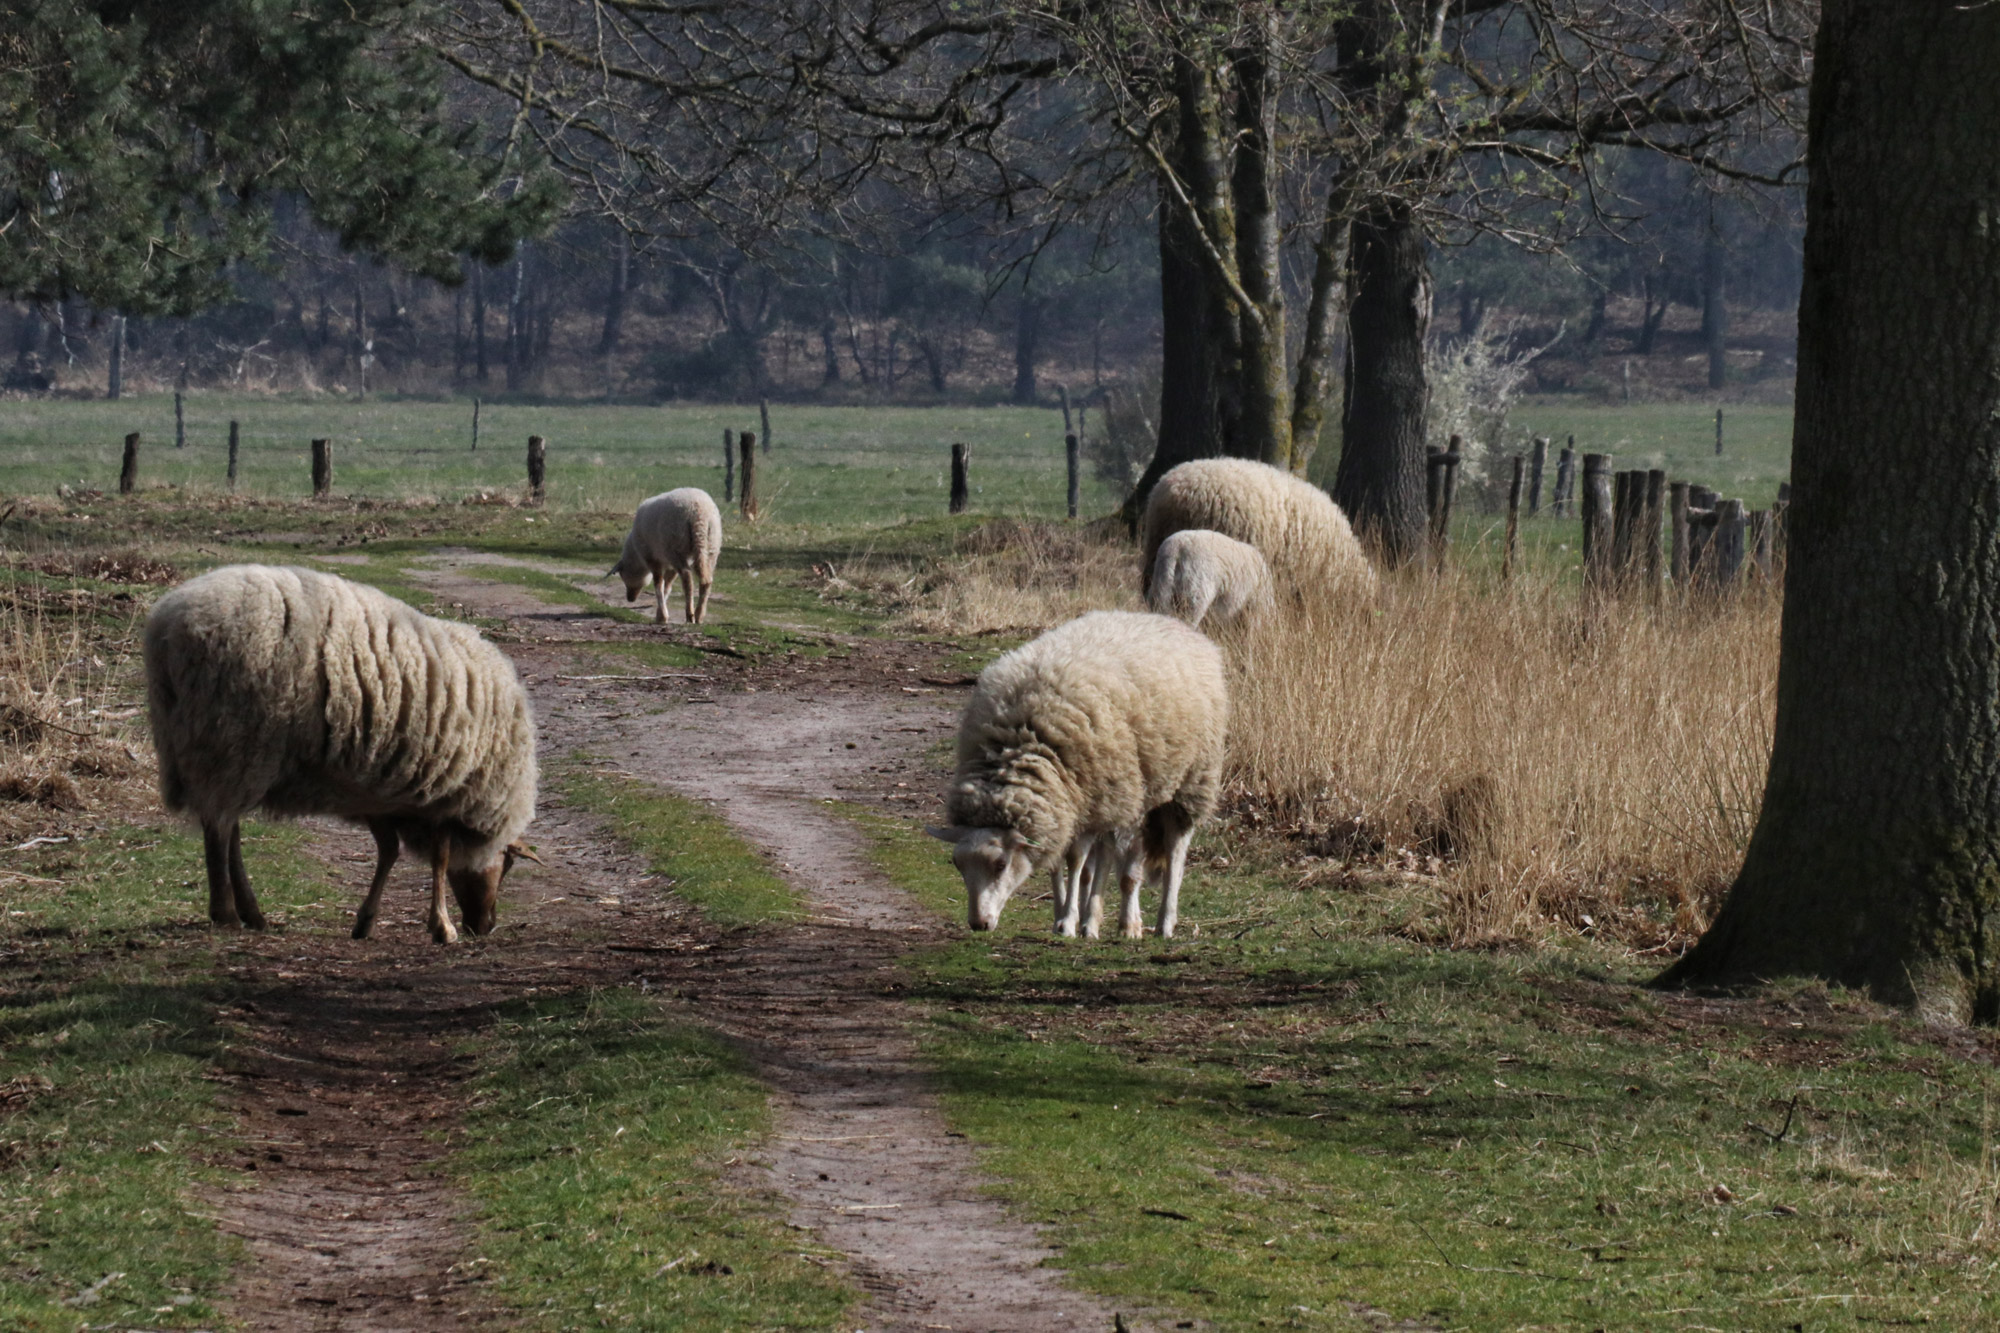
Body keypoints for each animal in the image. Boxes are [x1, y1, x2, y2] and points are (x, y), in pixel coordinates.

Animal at [143, 564, 540, 940]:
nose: (485, 926)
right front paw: (442, 926)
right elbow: (439, 859)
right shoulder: (445, 791)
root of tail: (166, 626)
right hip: (230, 739)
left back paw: (252, 913)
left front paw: (367, 921)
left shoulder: (381, 789)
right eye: (507, 864)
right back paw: (226, 913)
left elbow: (389, 850)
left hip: (205, 743)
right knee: (220, 828)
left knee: (227, 824)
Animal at [612, 488, 732, 624]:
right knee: (706, 580)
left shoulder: (652, 559)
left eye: (623, 576)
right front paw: (660, 614)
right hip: (711, 545)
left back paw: (690, 615)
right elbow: (667, 586)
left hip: (676, 547)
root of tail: (699, 514)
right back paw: (699, 615)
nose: (630, 599)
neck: (637, 557)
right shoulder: (670, 565)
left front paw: (662, 616)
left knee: (687, 579)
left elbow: (659, 585)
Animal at [928, 608, 1224, 932]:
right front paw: (1064, 916)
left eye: (1001, 864)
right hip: (1127, 793)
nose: (978, 923)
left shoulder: (1095, 796)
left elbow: (1077, 859)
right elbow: (1064, 863)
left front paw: (1073, 920)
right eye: (957, 864)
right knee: (1119, 858)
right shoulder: (1063, 803)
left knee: (1173, 852)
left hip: (1189, 781)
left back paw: (1161, 922)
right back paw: (1115, 919)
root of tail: (1164, 619)